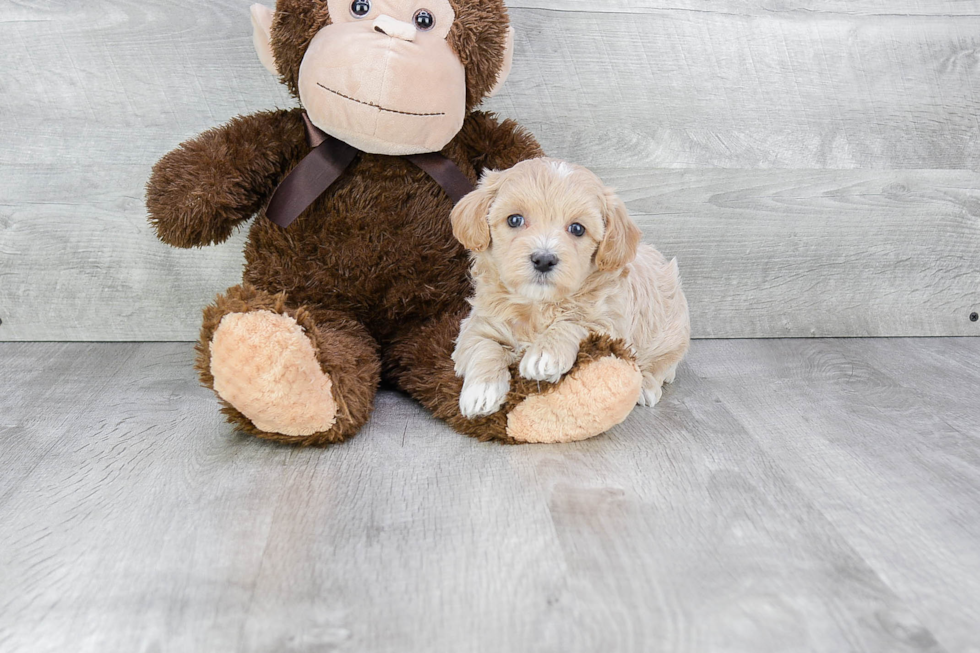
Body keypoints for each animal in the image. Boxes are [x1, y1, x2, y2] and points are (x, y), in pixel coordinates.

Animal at [450, 160, 688, 420]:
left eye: (577, 228)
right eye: (514, 220)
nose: (544, 260)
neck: (538, 305)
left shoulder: (610, 323)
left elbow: (574, 323)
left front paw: (546, 353)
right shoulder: (477, 324)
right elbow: (483, 347)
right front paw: (481, 390)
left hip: (673, 330)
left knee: (662, 362)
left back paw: (647, 385)